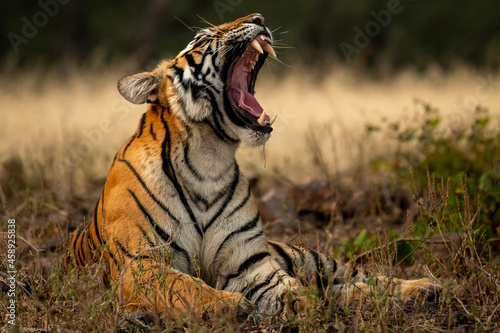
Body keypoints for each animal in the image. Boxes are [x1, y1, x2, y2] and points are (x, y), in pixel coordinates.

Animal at [67, 13, 442, 320]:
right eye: (204, 35)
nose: (259, 17)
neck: (208, 160)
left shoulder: (249, 264)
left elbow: (289, 288)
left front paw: (305, 305)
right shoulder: (141, 263)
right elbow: (184, 287)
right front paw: (231, 305)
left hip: (310, 257)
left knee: (361, 277)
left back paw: (424, 288)